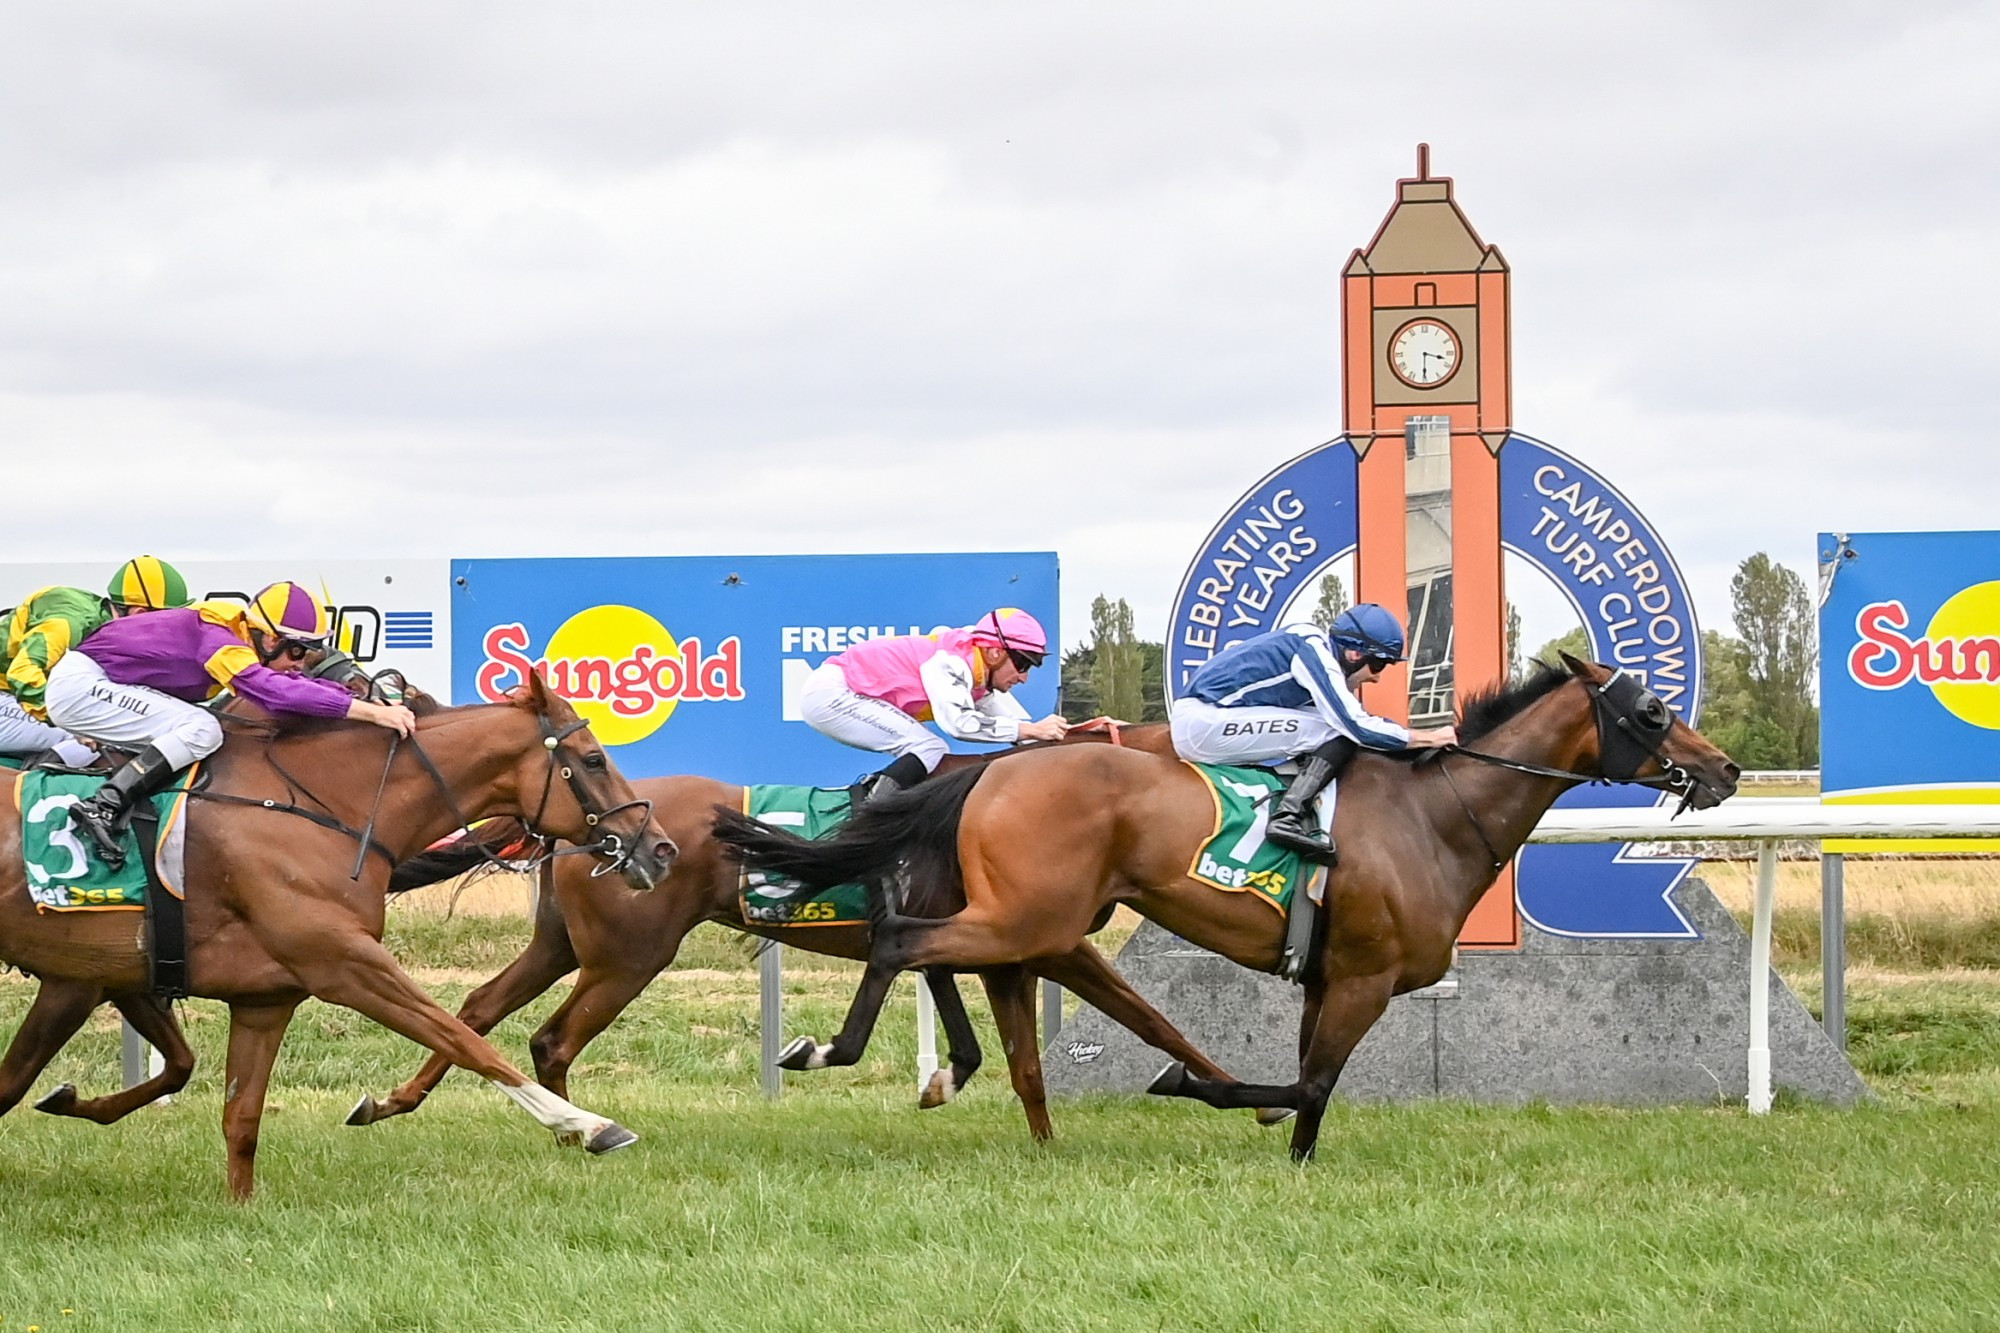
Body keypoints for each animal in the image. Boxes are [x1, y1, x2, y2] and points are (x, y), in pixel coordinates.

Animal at [0, 668, 680, 1200]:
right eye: (593, 759)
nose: (661, 849)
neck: (324, 806)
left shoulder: (260, 997)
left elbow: (239, 1114)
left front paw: (240, 1205)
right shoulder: (343, 961)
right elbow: (462, 1038)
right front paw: (588, 1125)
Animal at [344, 720, 1272, 1136]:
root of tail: (599, 827)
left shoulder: (1004, 939)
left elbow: (1111, 1026)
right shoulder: (1035, 938)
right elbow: (1138, 1020)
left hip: (561, 942)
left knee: (475, 1007)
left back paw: (391, 1100)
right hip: (629, 956)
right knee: (552, 1038)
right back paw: (580, 1127)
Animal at [716, 652, 1736, 1152]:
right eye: (1651, 712)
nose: (1724, 768)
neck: (1435, 813)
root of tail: (993, 769)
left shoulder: (1328, 977)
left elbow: (1310, 1085)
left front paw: (1289, 1153)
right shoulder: (1365, 978)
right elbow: (1306, 1083)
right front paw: (1201, 1087)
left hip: (1032, 922)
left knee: (924, 947)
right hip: (1031, 916)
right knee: (899, 937)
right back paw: (829, 1049)